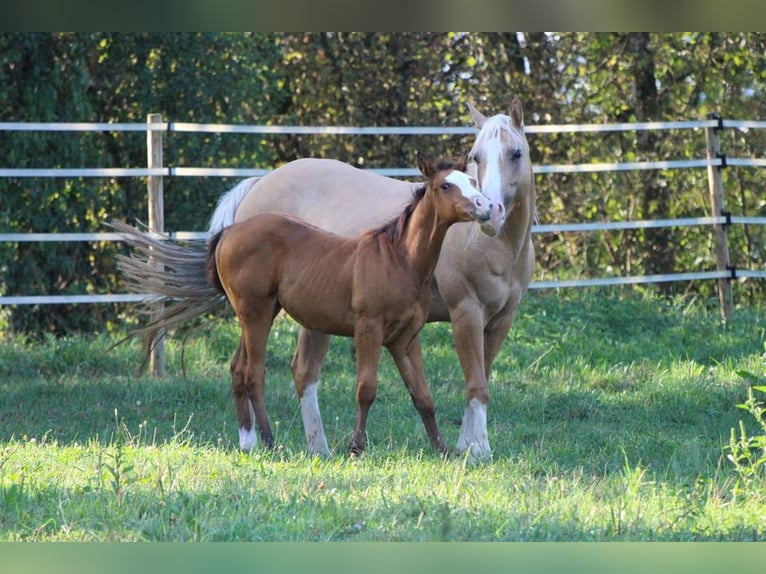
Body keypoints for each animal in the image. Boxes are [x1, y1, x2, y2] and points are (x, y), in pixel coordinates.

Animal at [207, 97, 536, 462]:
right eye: (477, 157)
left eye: (516, 153)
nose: (490, 210)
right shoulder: (462, 312)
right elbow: (471, 383)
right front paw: (477, 449)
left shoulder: (495, 321)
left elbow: (459, 385)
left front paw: (460, 446)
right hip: (261, 312)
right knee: (260, 372)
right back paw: (269, 441)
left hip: (287, 315)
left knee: (280, 370)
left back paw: (289, 445)